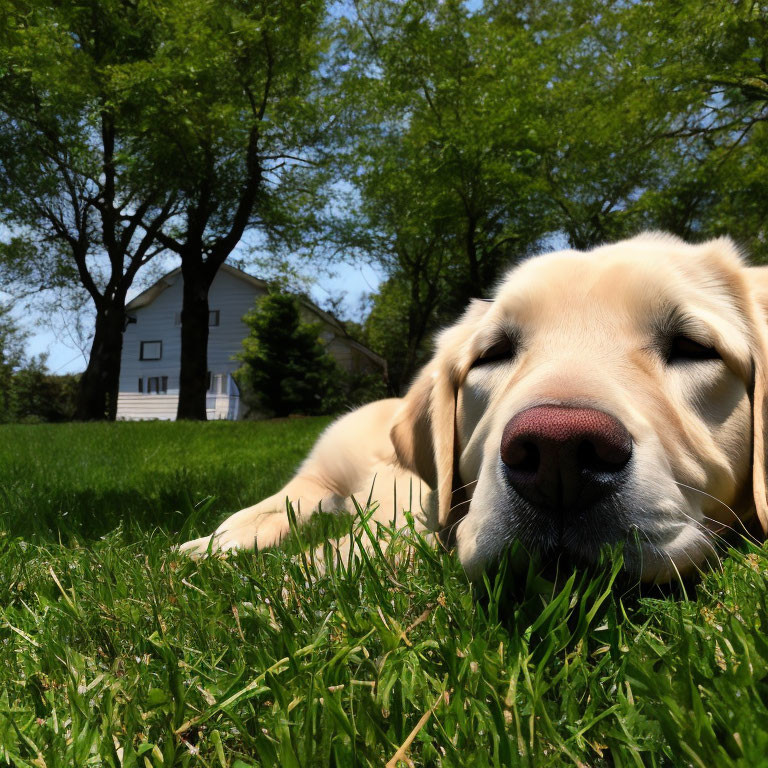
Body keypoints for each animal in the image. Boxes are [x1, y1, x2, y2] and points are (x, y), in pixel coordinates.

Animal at [182, 234, 768, 584]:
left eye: (693, 347)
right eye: (494, 353)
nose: (558, 452)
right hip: (318, 474)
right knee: (273, 507)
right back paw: (212, 542)